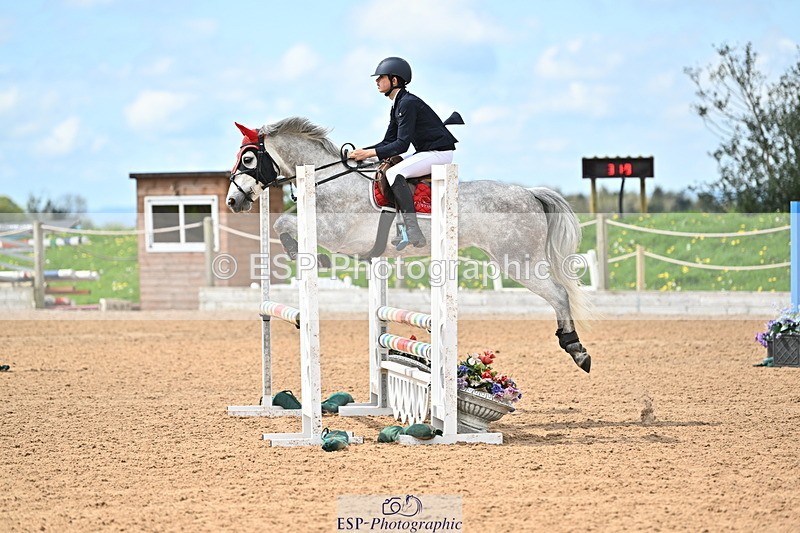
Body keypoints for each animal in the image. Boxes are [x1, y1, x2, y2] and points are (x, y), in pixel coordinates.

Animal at [226, 117, 593, 372]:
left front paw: (312, 260)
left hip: (518, 261)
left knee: (559, 294)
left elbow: (283, 224)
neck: (324, 179)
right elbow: (282, 224)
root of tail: (530, 192)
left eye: (248, 160)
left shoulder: (336, 233)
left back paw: (577, 350)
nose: (232, 201)